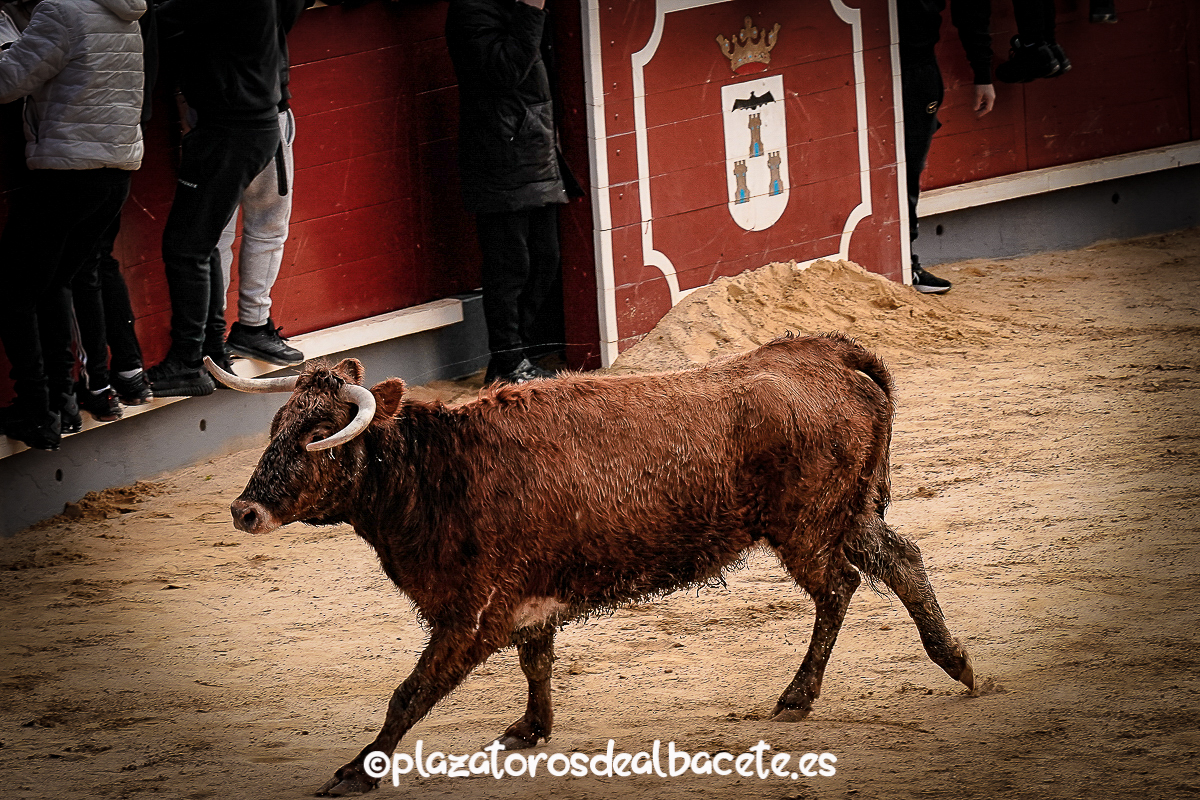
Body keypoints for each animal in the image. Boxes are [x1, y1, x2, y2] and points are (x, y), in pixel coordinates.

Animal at [205, 332, 974, 796]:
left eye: (319, 433)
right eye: (277, 428)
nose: (244, 511)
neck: (439, 469)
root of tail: (831, 355)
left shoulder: (469, 616)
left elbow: (410, 692)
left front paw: (356, 770)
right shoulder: (523, 602)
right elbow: (536, 661)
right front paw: (530, 730)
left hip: (808, 528)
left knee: (839, 586)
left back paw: (798, 695)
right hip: (849, 516)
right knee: (902, 561)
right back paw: (955, 661)